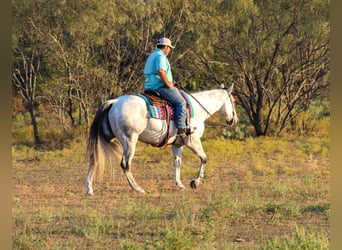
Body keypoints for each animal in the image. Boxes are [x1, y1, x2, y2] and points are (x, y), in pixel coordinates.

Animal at [85, 84, 238, 195]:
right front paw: (195, 182)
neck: (197, 110)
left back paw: (89, 188)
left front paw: (180, 184)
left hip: (106, 139)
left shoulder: (177, 144)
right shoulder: (192, 141)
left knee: (94, 159)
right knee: (125, 164)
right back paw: (137, 188)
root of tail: (114, 101)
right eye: (234, 101)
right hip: (130, 141)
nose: (234, 120)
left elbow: (177, 163)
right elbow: (204, 158)